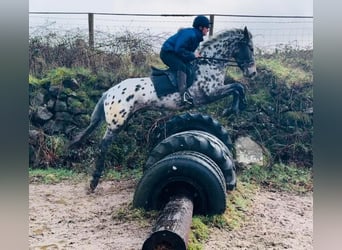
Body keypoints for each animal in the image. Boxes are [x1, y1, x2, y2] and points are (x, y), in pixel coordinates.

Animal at [69, 25, 256, 191]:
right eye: (251, 48)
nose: (252, 73)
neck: (209, 63)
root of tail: (109, 92)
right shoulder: (210, 93)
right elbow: (238, 87)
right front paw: (233, 109)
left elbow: (238, 88)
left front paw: (234, 108)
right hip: (117, 122)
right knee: (104, 146)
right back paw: (94, 182)